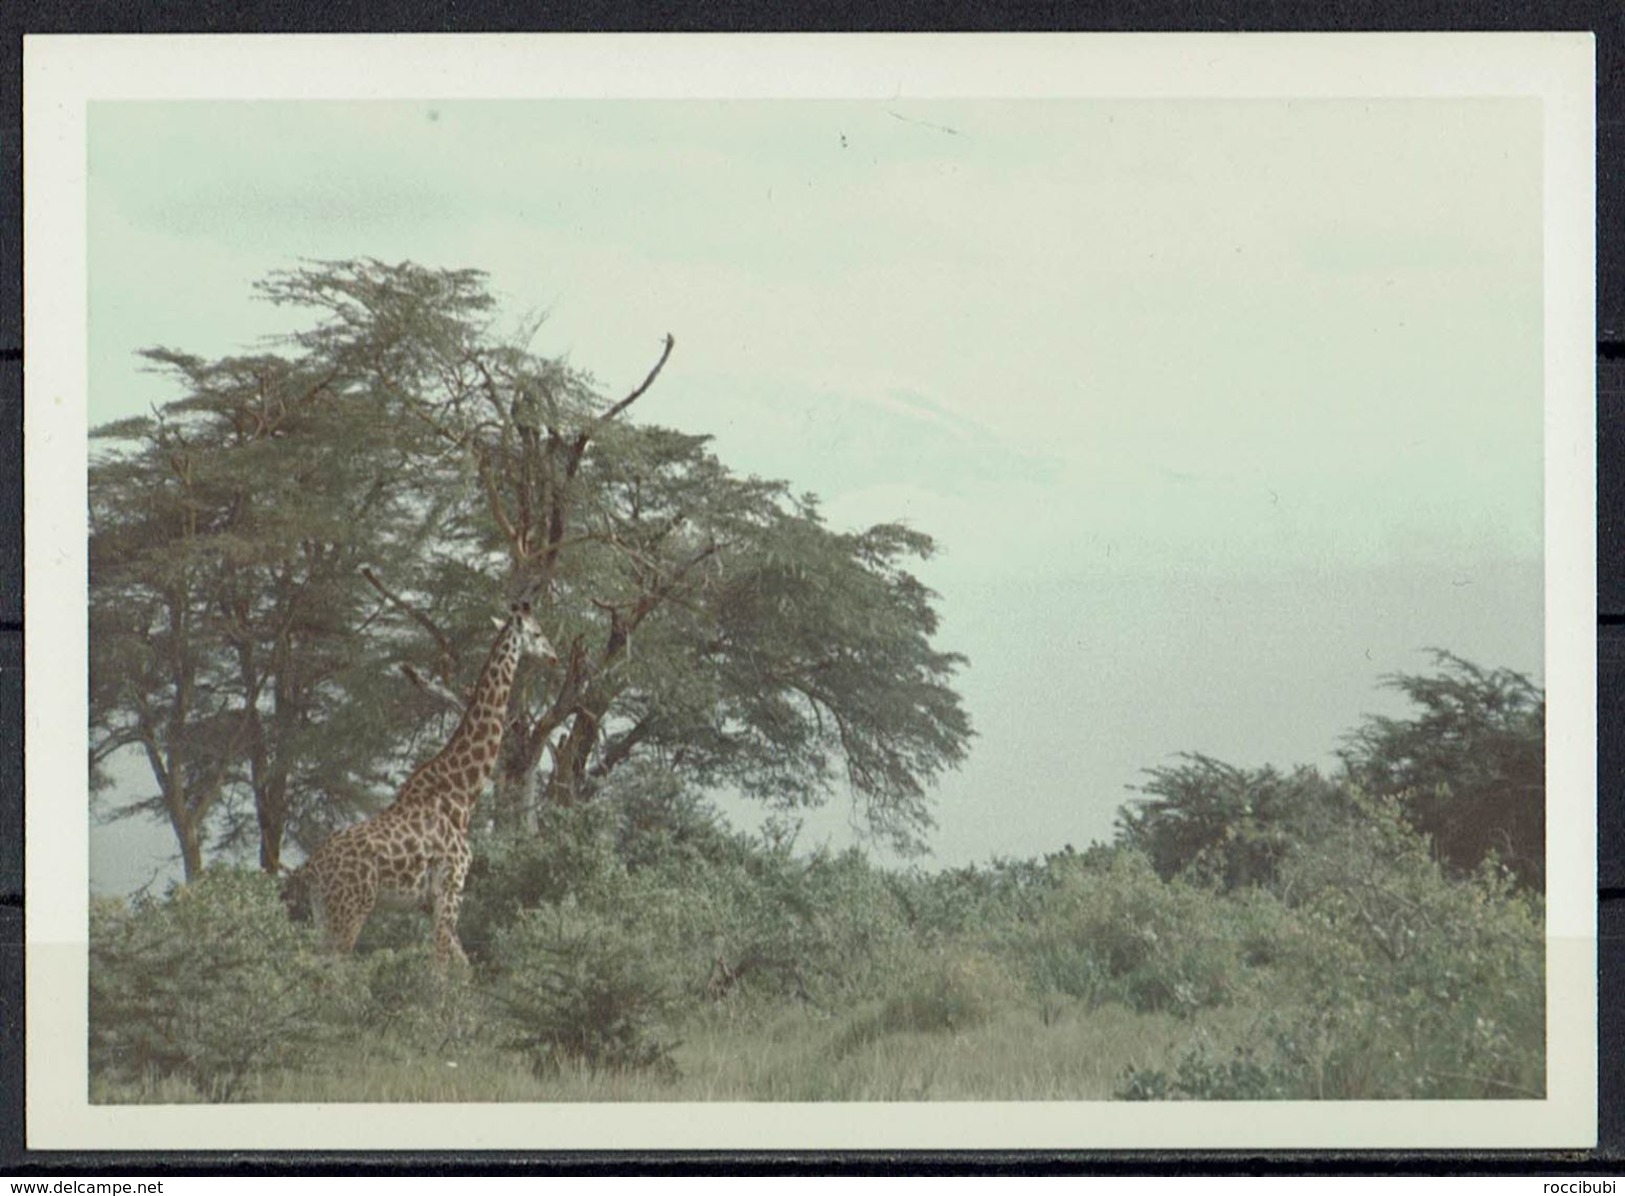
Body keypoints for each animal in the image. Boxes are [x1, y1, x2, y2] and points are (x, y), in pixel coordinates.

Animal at [299, 598, 559, 962]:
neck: (461, 794)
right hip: (350, 909)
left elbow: (463, 965)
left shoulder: (429, 900)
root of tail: (313, 866)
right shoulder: (450, 887)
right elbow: (440, 965)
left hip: (323, 910)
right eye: (537, 633)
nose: (555, 657)